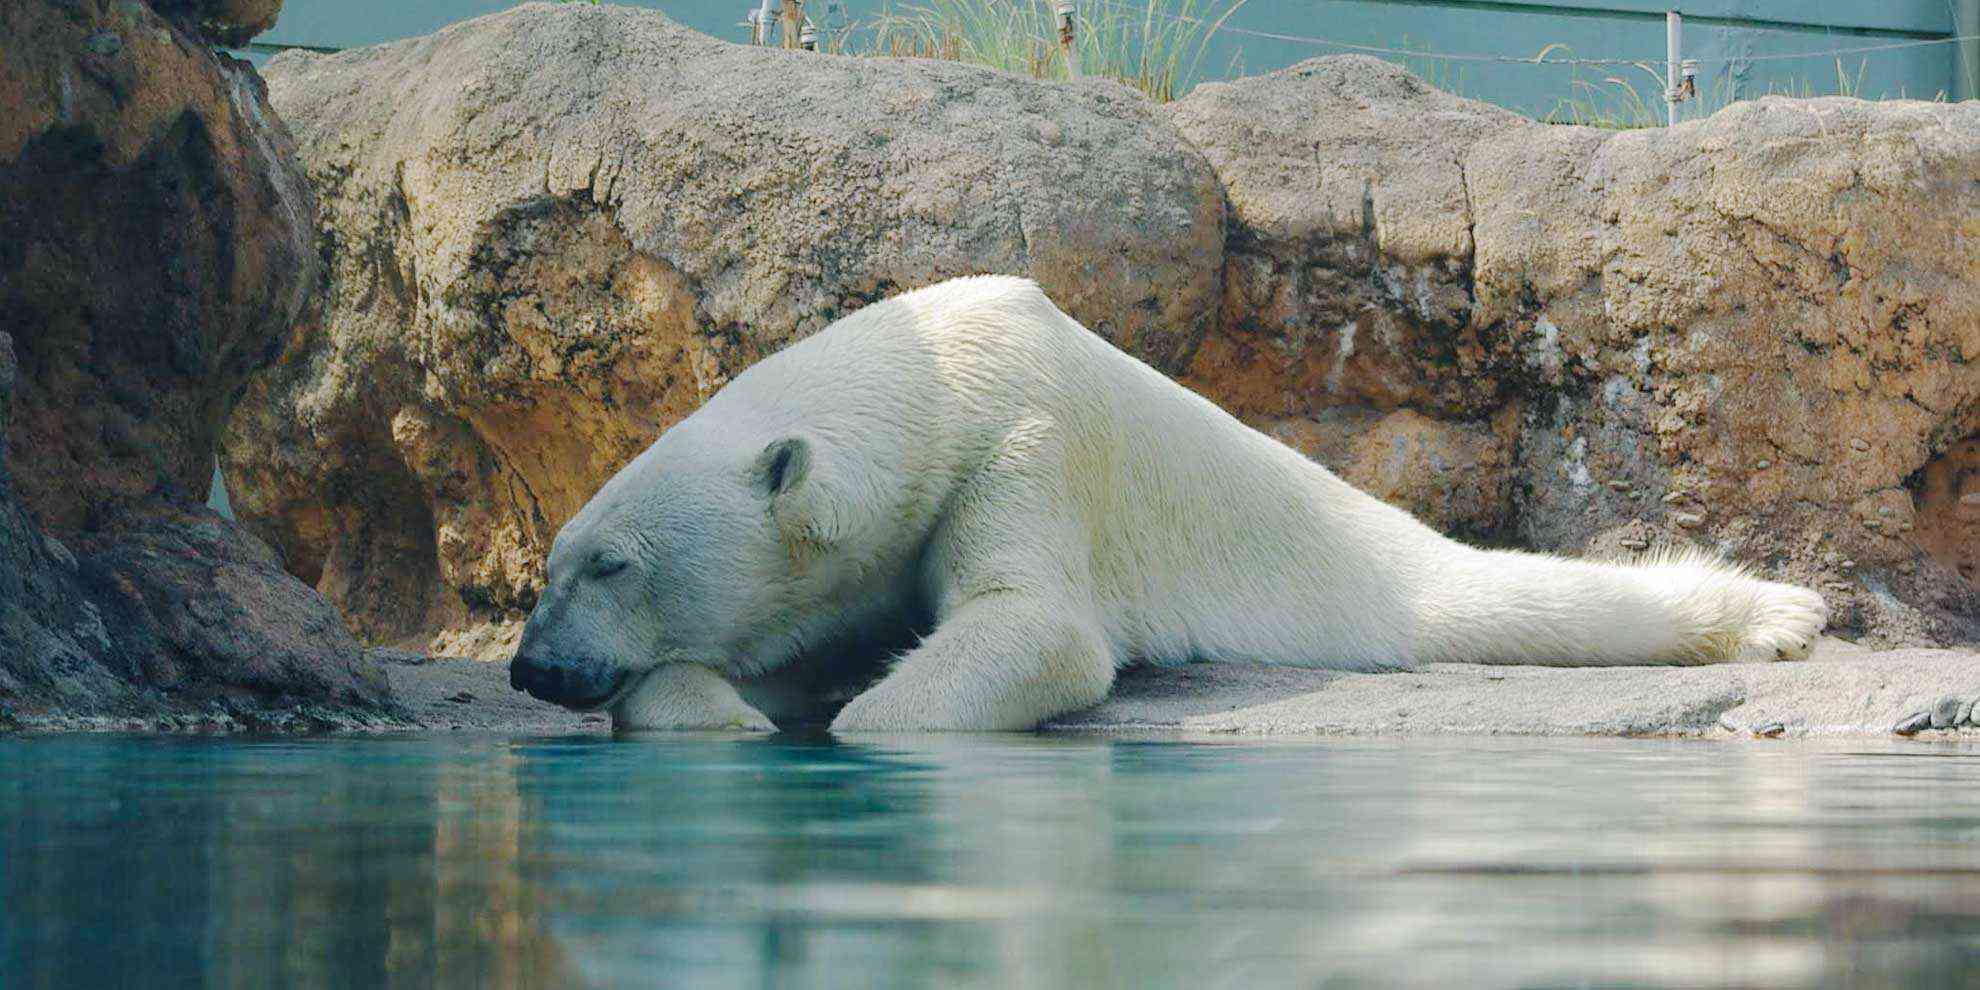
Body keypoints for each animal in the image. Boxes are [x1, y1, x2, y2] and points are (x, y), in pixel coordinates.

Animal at [506, 275, 1821, 732]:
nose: (532, 668)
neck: (940, 366)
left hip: (1363, 571)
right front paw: (721, 710)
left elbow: (1035, 631)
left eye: (613, 564)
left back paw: (1778, 615)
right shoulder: (871, 557)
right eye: (554, 562)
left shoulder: (1023, 447)